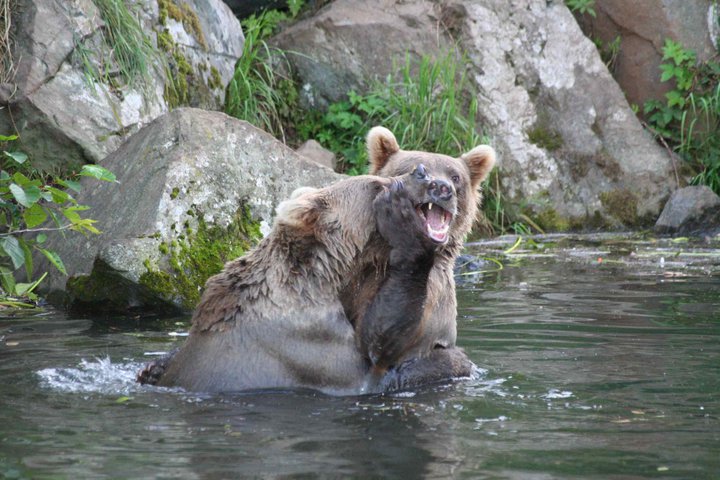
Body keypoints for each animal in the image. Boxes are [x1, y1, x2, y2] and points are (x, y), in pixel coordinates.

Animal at [140, 127, 496, 394]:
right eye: (380, 185)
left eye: (455, 177)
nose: (429, 179)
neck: (324, 278)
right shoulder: (308, 348)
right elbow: (374, 368)